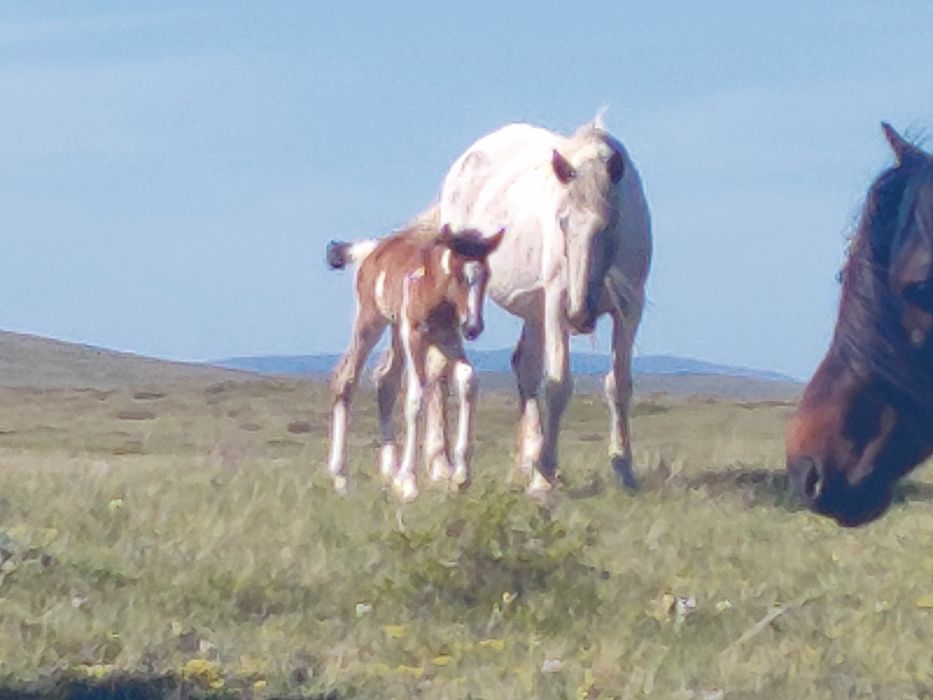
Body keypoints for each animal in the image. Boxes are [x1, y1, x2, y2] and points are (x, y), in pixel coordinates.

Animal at [325, 220, 504, 501]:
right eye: (459, 275)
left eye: (486, 275)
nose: (473, 327)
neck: (434, 289)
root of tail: (371, 250)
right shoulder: (415, 335)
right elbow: (415, 397)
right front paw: (409, 483)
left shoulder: (447, 337)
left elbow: (467, 379)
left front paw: (460, 476)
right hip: (372, 320)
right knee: (346, 378)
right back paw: (341, 478)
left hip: (396, 329)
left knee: (385, 380)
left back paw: (390, 472)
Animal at [432, 114, 652, 494]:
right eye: (562, 221)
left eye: (610, 223)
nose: (580, 314)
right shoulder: (555, 307)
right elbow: (558, 384)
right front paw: (545, 474)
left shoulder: (629, 310)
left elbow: (619, 384)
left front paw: (624, 469)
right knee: (438, 370)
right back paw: (444, 466)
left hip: (533, 312)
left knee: (525, 367)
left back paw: (526, 461)